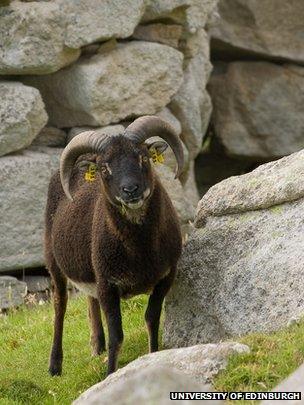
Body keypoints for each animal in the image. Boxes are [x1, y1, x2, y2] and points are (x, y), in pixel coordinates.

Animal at [44, 114, 184, 376]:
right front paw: (110, 374)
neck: (140, 251)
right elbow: (116, 336)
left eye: (143, 157)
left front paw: (153, 356)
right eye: (104, 168)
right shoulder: (108, 285)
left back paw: (96, 346)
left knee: (89, 299)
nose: (130, 190)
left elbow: (152, 319)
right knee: (60, 303)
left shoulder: (165, 277)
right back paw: (55, 366)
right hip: (53, 258)